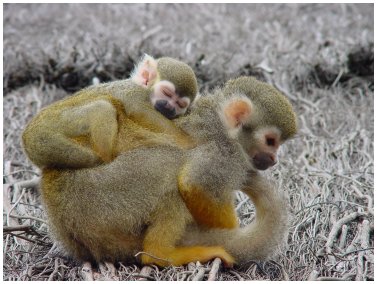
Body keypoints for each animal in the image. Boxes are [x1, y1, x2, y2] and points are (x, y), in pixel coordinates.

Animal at [21, 55, 197, 169]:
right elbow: (138, 108)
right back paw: (108, 158)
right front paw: (186, 140)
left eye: (180, 104)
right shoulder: (134, 92)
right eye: (167, 93)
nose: (169, 107)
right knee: (102, 108)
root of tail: (30, 135)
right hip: (58, 121)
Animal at [39, 75, 296, 266]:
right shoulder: (224, 153)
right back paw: (160, 254)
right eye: (271, 141)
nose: (274, 159)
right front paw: (228, 231)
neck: (223, 125)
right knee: (170, 175)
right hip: (99, 202)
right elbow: (194, 184)